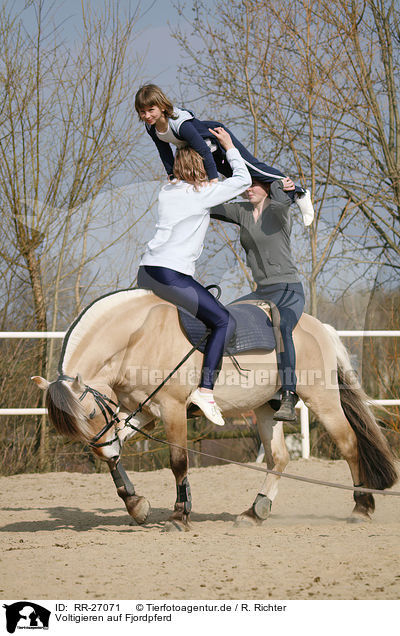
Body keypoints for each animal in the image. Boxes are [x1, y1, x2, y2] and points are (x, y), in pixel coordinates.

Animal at [32, 290, 396, 528]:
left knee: (349, 445)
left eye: (90, 415)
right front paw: (137, 506)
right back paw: (255, 512)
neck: (138, 336)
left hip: (322, 400)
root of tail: (319, 328)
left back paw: (361, 507)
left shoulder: (171, 410)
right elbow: (115, 456)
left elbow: (178, 462)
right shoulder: (140, 413)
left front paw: (179, 515)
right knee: (279, 459)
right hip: (267, 409)